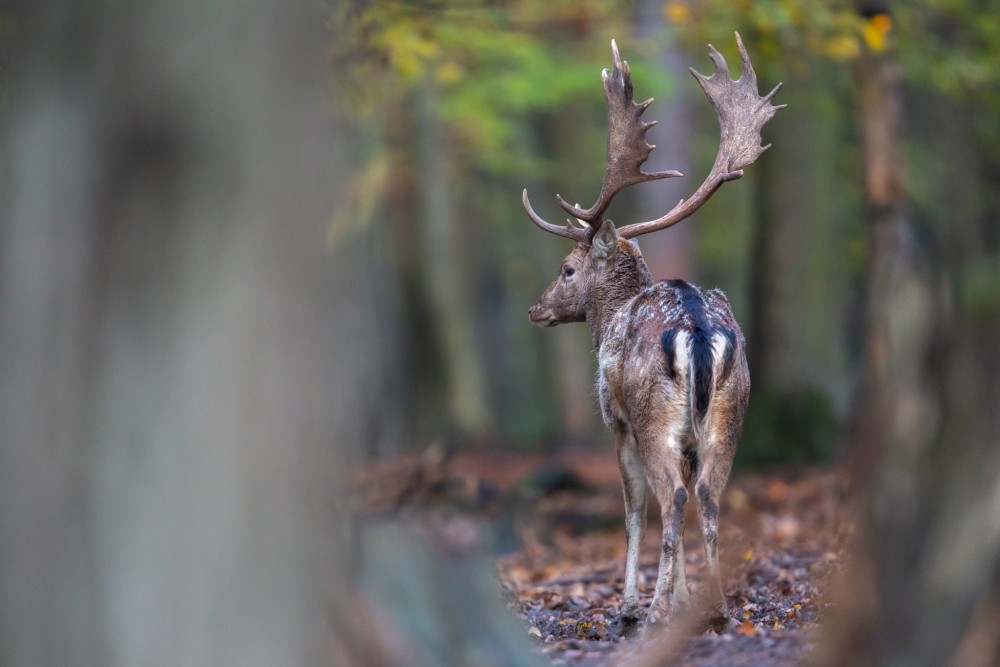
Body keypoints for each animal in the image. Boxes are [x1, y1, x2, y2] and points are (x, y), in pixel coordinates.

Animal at [524, 34, 780, 636]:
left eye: (568, 269)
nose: (536, 309)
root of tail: (699, 331)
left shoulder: (615, 422)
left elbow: (634, 511)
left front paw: (633, 605)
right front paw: (684, 598)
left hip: (651, 416)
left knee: (675, 496)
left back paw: (654, 612)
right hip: (730, 413)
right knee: (706, 494)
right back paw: (717, 609)